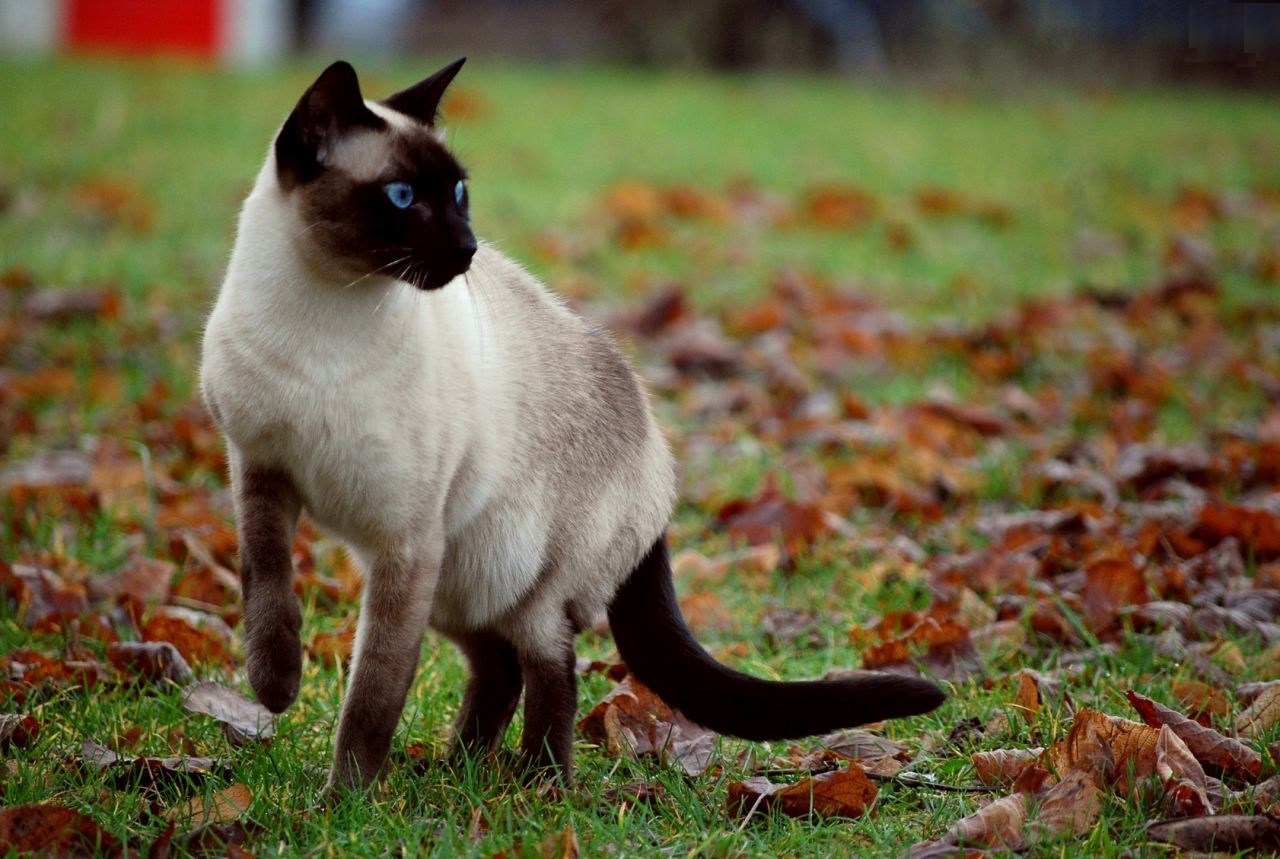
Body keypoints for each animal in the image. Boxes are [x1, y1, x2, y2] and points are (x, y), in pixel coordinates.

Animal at [197, 56, 942, 788]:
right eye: (404, 197)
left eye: (459, 193)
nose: (468, 247)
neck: (326, 311)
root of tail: (660, 456)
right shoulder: (261, 471)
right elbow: (267, 584)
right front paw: (275, 690)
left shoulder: (406, 538)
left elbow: (373, 696)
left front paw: (344, 799)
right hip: (460, 579)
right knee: (498, 666)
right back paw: (459, 773)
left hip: (509, 578)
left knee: (550, 665)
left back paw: (537, 786)